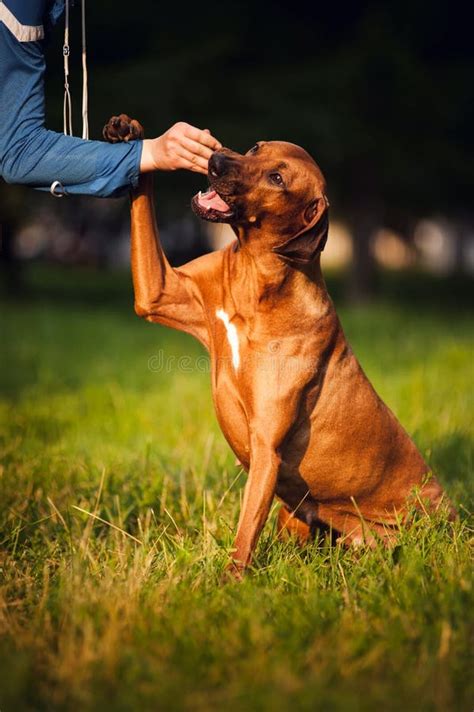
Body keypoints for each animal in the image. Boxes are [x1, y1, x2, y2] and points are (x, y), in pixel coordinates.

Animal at [104, 114, 456, 576]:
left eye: (277, 179)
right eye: (256, 148)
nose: (217, 160)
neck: (255, 280)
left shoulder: (266, 449)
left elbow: (242, 540)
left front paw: (229, 584)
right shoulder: (158, 293)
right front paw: (132, 134)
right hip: (296, 517)